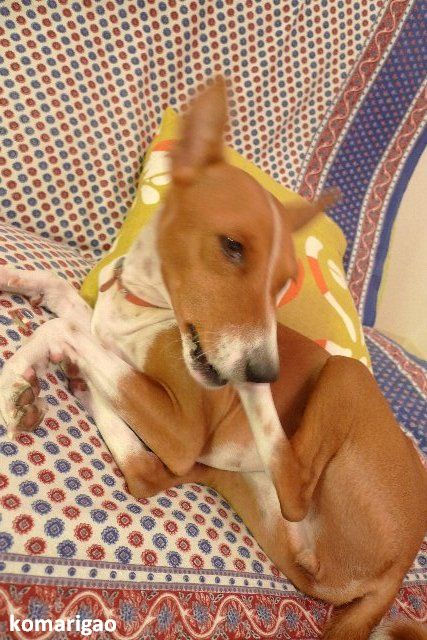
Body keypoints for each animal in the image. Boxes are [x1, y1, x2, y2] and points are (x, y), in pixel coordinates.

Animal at [0, 78, 426, 640]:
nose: (265, 369)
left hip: (344, 378)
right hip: (233, 484)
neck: (145, 304)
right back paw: (83, 387)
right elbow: (64, 302)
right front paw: (19, 328)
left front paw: (24, 369)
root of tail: (397, 573)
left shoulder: (182, 427)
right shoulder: (116, 347)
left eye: (284, 283)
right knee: (148, 474)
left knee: (291, 481)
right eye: (232, 246)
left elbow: (63, 327)